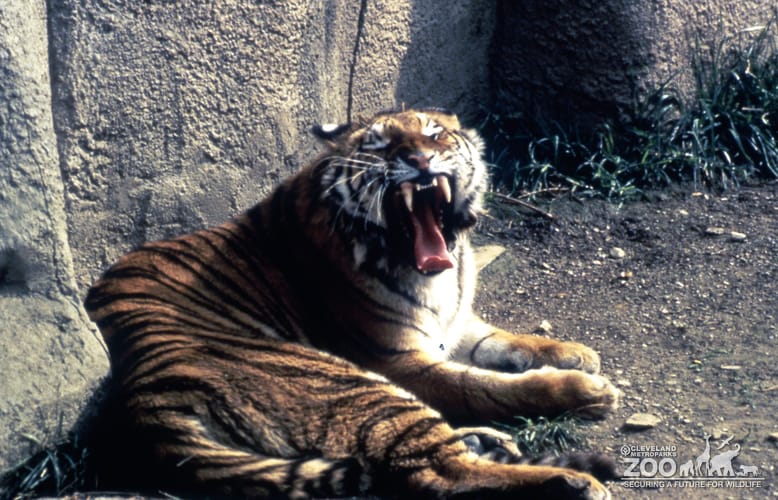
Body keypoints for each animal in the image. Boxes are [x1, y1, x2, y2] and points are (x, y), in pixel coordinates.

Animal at [84, 108, 620, 499]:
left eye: (435, 134)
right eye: (380, 145)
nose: (420, 160)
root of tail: (142, 395)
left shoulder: (454, 323)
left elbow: (502, 340)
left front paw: (576, 354)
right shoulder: (401, 360)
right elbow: (485, 387)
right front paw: (587, 388)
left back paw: (490, 440)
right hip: (351, 384)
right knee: (434, 470)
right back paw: (574, 483)